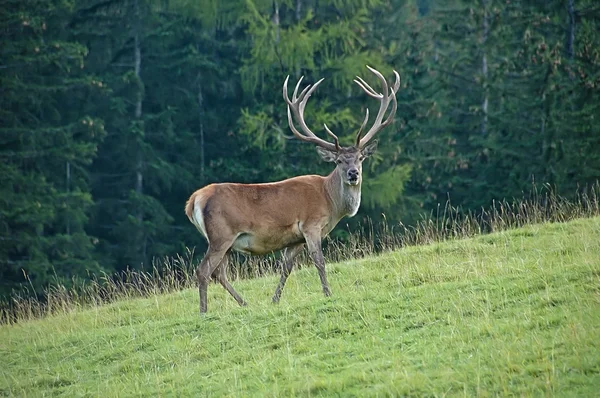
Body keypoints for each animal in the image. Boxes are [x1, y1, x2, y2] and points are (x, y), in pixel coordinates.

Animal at [185, 66, 400, 314]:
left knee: (219, 273)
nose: (353, 174)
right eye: (338, 161)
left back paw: (245, 303)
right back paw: (204, 311)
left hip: (227, 241)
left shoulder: (295, 239)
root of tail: (193, 201)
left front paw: (275, 299)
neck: (330, 202)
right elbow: (319, 261)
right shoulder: (311, 225)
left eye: (360, 158)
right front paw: (328, 293)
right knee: (203, 271)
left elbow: (286, 267)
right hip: (221, 235)